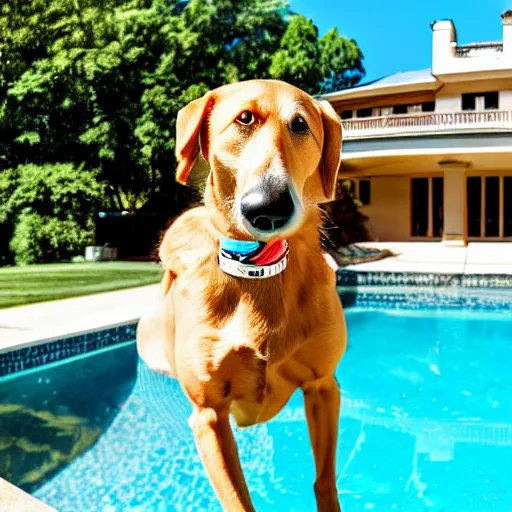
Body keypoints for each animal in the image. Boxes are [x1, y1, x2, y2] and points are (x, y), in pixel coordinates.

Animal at [136, 80, 348, 512]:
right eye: (244, 119)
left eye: (300, 124)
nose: (268, 207)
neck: (259, 268)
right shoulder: (209, 415)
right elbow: (238, 501)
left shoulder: (323, 386)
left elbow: (324, 481)